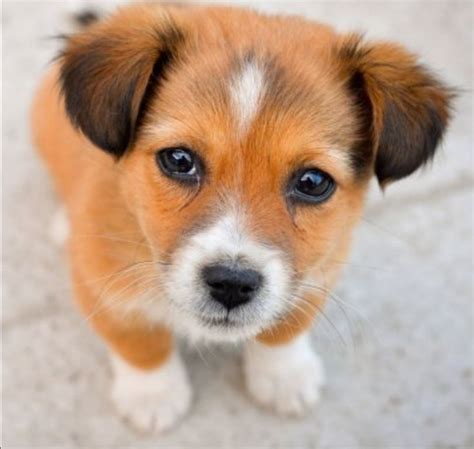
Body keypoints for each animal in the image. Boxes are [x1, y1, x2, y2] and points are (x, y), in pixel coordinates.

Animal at [31, 1, 454, 432]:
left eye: (313, 181)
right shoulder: (103, 288)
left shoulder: (317, 275)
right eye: (179, 160)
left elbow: (285, 330)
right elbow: (140, 344)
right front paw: (153, 395)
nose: (231, 285)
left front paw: (285, 376)